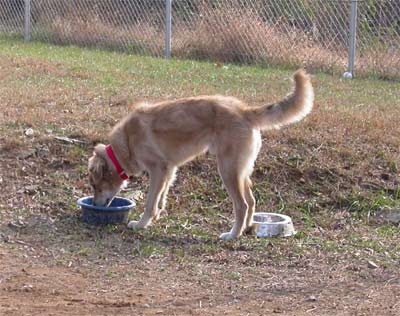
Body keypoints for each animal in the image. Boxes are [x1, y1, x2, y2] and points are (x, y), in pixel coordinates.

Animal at [89, 69, 314, 239]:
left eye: (95, 185)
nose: (93, 204)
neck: (126, 143)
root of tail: (244, 110)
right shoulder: (169, 171)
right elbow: (161, 198)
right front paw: (158, 215)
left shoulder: (158, 170)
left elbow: (150, 203)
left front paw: (142, 223)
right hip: (241, 172)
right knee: (251, 201)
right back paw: (247, 228)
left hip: (227, 171)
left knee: (241, 205)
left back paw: (232, 235)